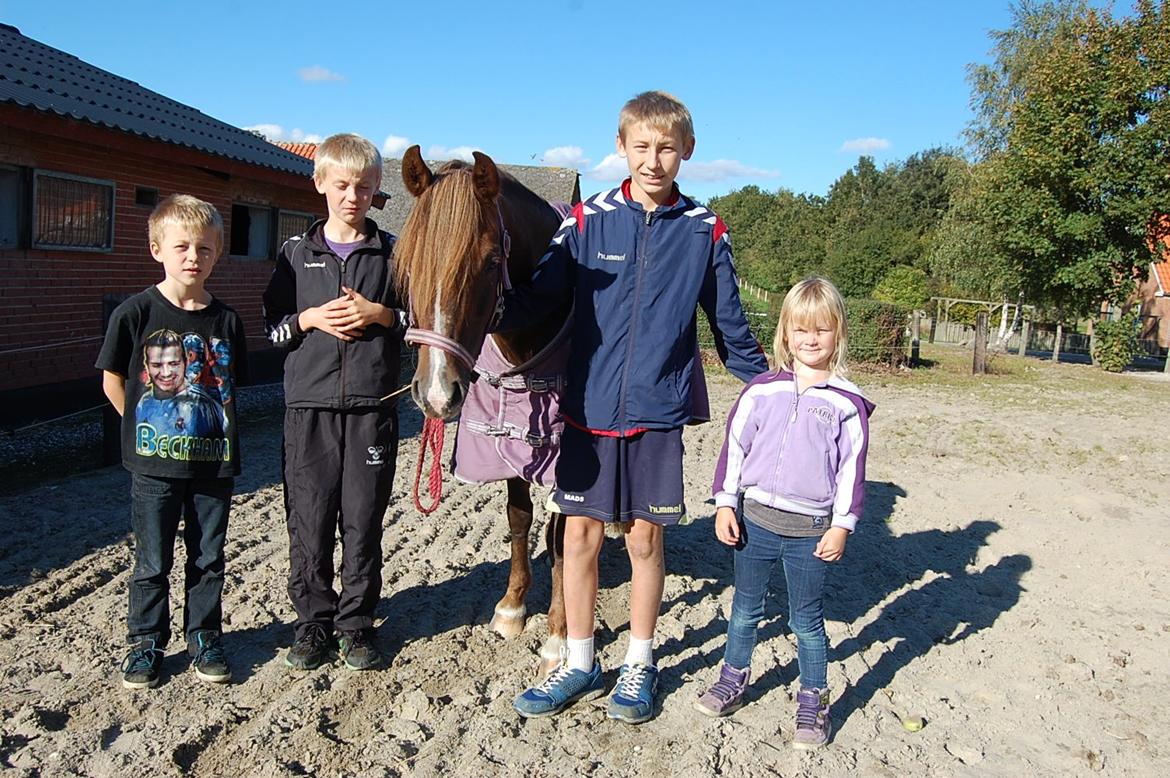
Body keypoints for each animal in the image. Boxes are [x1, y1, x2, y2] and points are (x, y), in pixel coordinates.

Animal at [395, 147, 573, 673]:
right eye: (406, 262)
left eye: (493, 261)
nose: (436, 394)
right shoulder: (510, 445)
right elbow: (519, 518)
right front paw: (513, 607)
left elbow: (562, 537)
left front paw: (558, 636)